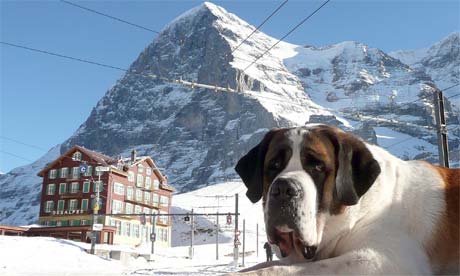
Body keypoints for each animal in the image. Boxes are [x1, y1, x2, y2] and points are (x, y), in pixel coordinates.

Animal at [232, 125, 458, 276]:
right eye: (274, 165)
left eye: (317, 166)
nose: (283, 188)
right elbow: (264, 266)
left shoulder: (384, 259)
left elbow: (281, 269)